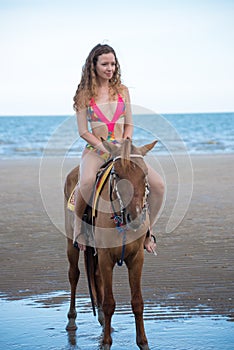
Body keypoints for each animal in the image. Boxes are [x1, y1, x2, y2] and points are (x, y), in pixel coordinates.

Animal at [64, 138, 157, 348]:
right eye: (117, 174)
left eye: (144, 174)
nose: (135, 217)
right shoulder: (106, 258)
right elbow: (109, 304)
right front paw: (106, 342)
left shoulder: (136, 259)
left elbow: (137, 302)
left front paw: (143, 342)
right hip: (71, 243)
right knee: (74, 275)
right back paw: (72, 320)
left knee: (96, 276)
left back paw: (100, 320)